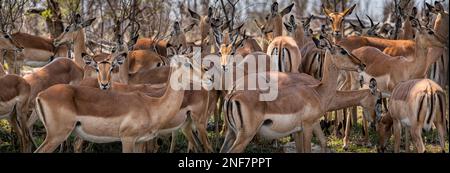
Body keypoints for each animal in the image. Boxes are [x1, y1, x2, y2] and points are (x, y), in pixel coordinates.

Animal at [33, 49, 209, 153]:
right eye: (188, 63)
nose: (207, 77)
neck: (152, 106)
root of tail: (40, 95)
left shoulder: (139, 141)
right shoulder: (127, 139)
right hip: (56, 136)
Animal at [220, 36, 382, 153]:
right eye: (343, 51)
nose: (362, 64)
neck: (319, 92)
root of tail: (232, 95)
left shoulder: (298, 130)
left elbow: (319, 144)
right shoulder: (308, 126)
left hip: (231, 134)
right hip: (244, 136)